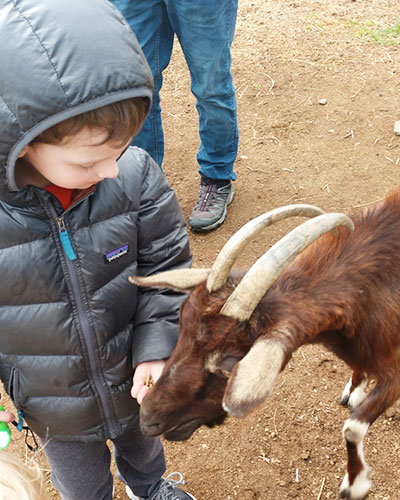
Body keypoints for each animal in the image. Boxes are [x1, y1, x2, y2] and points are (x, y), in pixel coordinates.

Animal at [130, 194, 400, 500]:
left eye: (229, 364)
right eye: (181, 323)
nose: (147, 418)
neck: (368, 290)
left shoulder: (395, 371)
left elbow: (353, 428)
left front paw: (355, 485)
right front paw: (355, 389)